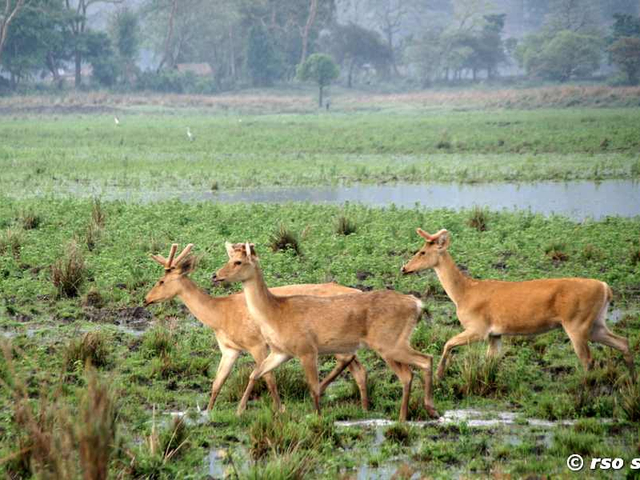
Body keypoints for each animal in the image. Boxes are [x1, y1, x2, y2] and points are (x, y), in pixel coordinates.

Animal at [143, 243, 369, 414]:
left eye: (161, 281)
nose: (146, 299)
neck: (219, 315)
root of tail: (359, 290)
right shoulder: (230, 349)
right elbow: (217, 382)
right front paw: (208, 411)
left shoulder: (257, 344)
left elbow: (267, 377)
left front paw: (277, 408)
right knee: (359, 369)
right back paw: (363, 406)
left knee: (348, 360)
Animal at [212, 242, 439, 422]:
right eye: (229, 257)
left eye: (238, 262)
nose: (215, 275)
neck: (275, 313)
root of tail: (417, 304)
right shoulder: (281, 352)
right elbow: (256, 373)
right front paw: (239, 411)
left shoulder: (307, 350)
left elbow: (313, 387)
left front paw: (318, 418)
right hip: (394, 343)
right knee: (416, 367)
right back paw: (420, 411)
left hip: (389, 343)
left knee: (419, 364)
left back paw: (414, 413)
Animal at [401, 228, 635, 381]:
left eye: (422, 251)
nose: (404, 268)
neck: (464, 293)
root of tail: (606, 288)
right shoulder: (495, 334)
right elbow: (489, 361)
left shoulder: (479, 327)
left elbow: (448, 343)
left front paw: (440, 374)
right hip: (595, 322)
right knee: (622, 341)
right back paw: (631, 381)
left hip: (576, 322)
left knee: (588, 360)